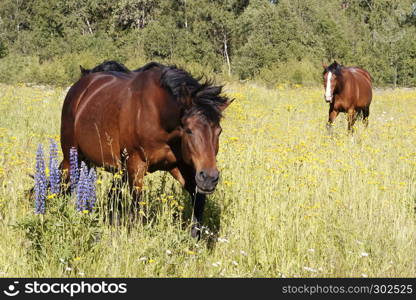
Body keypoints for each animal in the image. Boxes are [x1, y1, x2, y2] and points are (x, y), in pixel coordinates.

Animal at [60, 62, 232, 238]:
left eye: (219, 131)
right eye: (189, 130)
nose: (209, 178)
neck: (157, 115)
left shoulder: (180, 166)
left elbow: (198, 201)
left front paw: (194, 239)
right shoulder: (136, 166)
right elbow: (136, 208)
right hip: (72, 155)